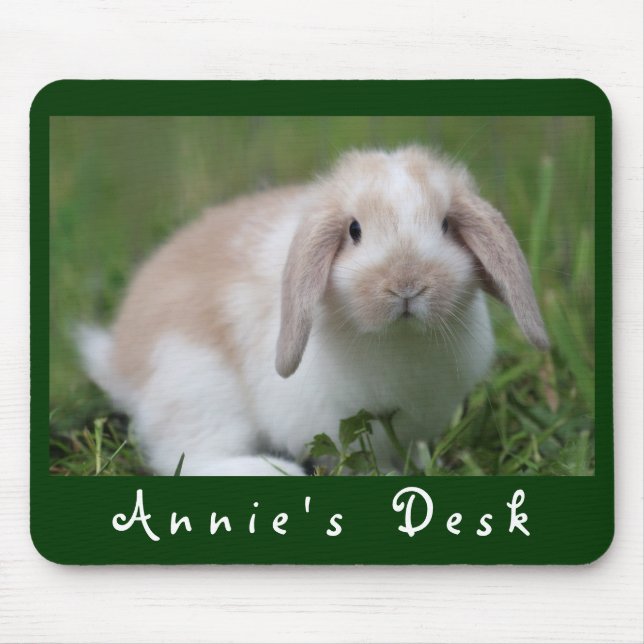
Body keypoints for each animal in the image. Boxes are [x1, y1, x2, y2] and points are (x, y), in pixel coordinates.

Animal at [77, 145, 549, 476]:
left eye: (447, 225)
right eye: (354, 230)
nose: (406, 285)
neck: (399, 339)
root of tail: (119, 360)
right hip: (199, 390)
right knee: (187, 456)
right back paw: (268, 471)